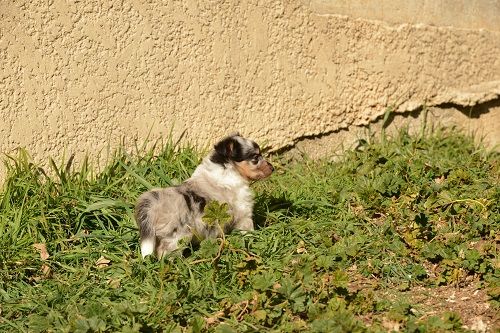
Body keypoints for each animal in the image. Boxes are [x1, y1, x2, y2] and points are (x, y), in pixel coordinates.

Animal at [135, 132, 274, 256]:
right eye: (255, 158)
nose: (273, 168)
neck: (228, 169)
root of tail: (153, 201)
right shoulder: (243, 214)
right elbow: (248, 230)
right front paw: (254, 239)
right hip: (177, 235)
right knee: (165, 252)